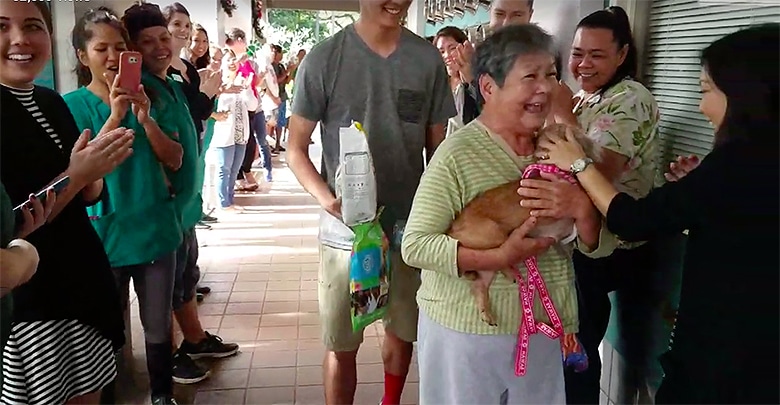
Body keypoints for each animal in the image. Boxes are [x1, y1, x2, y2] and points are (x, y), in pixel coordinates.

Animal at [448, 123, 600, 326]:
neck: (553, 169)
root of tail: (452, 229)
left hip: (487, 267)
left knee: (479, 285)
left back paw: (486, 313)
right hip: (493, 234)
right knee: (501, 255)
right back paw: (511, 273)